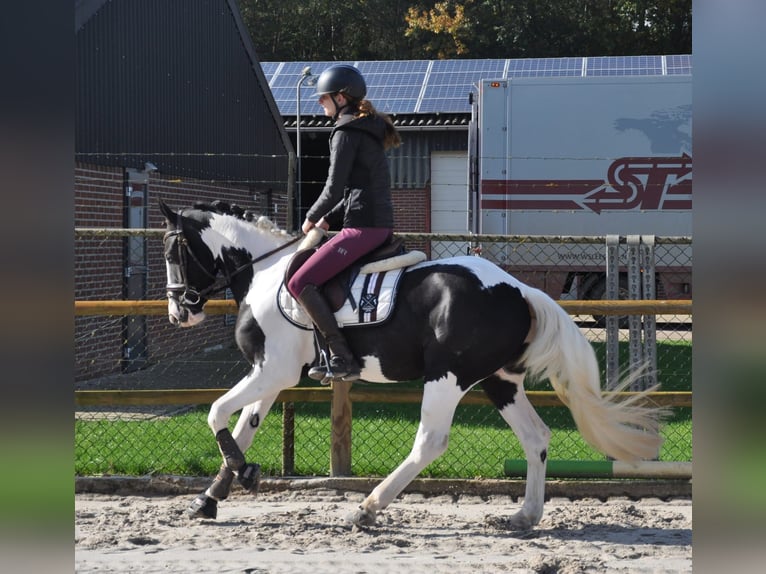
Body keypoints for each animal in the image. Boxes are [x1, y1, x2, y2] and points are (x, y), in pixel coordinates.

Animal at [159, 200, 664, 532]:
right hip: (499, 381)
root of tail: (521, 290)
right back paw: (524, 515)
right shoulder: (270, 374)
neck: (266, 272)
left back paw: (367, 508)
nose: (178, 313)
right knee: (536, 437)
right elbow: (243, 425)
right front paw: (211, 498)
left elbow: (217, 413)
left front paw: (240, 475)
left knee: (430, 441)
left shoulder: (273, 371)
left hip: (447, 376)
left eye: (171, 253)